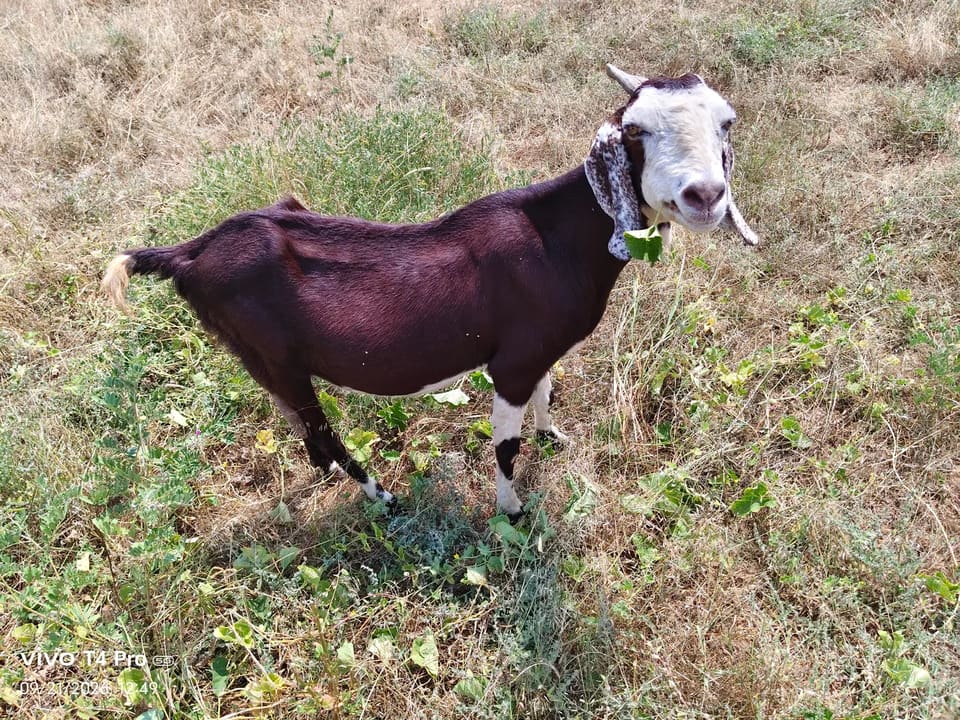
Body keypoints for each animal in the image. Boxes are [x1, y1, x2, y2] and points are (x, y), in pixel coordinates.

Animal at [102, 66, 758, 521]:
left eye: (725, 122)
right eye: (635, 128)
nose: (705, 195)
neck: (557, 237)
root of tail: (192, 252)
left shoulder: (539, 349)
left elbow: (547, 393)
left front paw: (554, 435)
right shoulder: (511, 364)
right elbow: (506, 446)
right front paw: (512, 511)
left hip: (261, 359)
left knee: (303, 432)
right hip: (275, 357)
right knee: (322, 431)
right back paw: (382, 496)